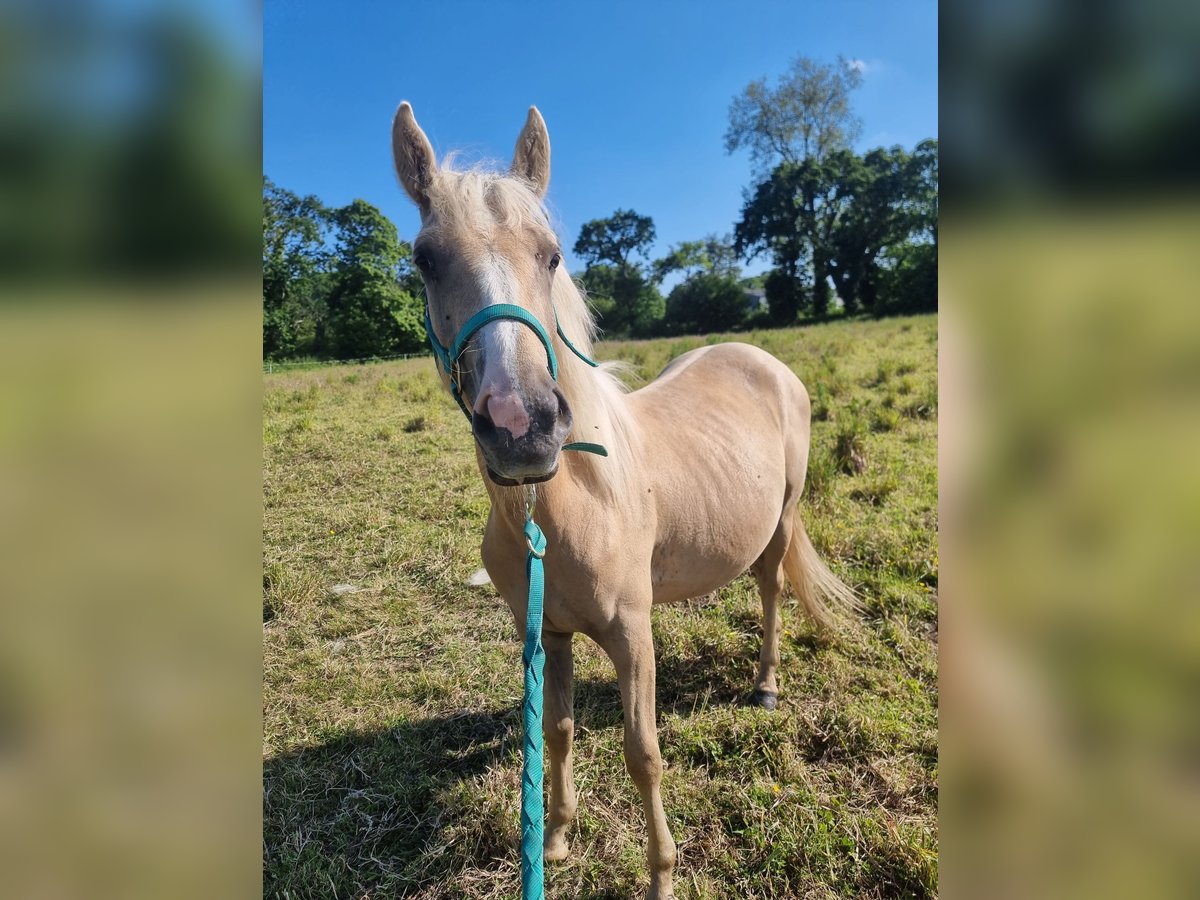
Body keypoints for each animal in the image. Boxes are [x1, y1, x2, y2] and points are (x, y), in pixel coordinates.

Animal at [391, 100, 854, 900]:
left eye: (551, 255)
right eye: (425, 259)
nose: (521, 425)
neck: (561, 511)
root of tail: (763, 359)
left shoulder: (634, 638)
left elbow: (644, 754)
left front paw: (662, 875)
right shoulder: (547, 635)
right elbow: (558, 731)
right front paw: (557, 839)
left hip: (782, 519)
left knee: (770, 590)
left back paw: (765, 687)